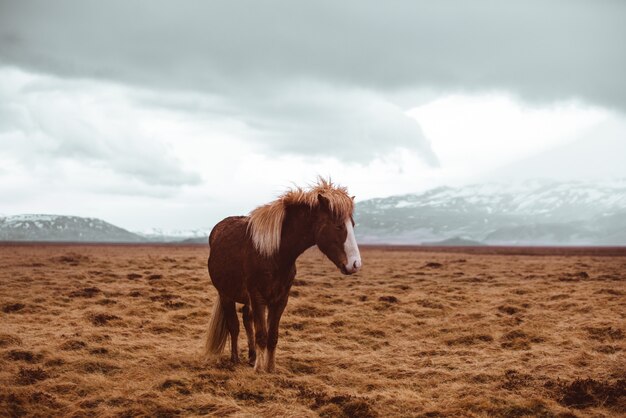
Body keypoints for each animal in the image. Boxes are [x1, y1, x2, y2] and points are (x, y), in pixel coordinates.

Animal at [202, 179, 360, 372]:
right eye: (338, 225)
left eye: (353, 225)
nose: (355, 264)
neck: (275, 254)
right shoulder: (258, 297)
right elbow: (262, 334)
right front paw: (259, 370)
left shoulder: (280, 299)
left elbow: (272, 336)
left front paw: (270, 368)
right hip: (225, 294)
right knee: (234, 326)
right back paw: (235, 359)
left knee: (247, 320)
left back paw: (252, 357)